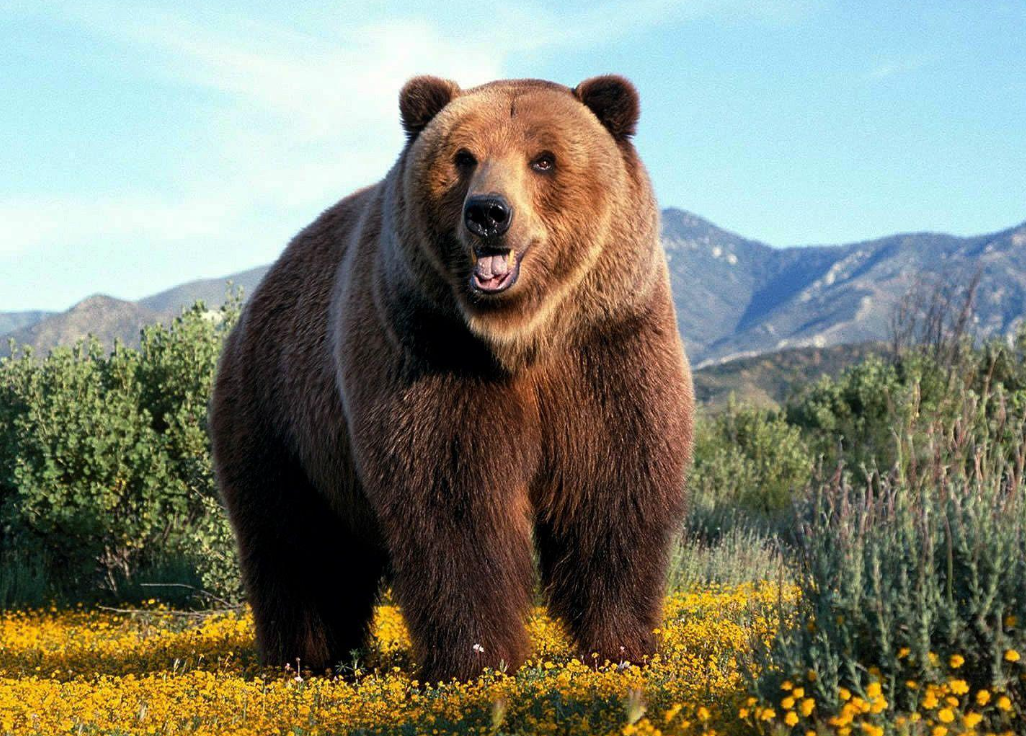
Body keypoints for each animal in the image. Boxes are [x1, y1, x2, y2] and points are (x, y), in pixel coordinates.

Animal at [209, 75, 694, 682]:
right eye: (464, 157)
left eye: (544, 159)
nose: (488, 212)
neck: (521, 336)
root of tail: (258, 296)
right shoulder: (430, 352)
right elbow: (454, 502)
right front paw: (478, 659)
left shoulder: (607, 347)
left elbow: (613, 488)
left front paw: (620, 646)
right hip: (280, 417)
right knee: (296, 546)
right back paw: (304, 659)